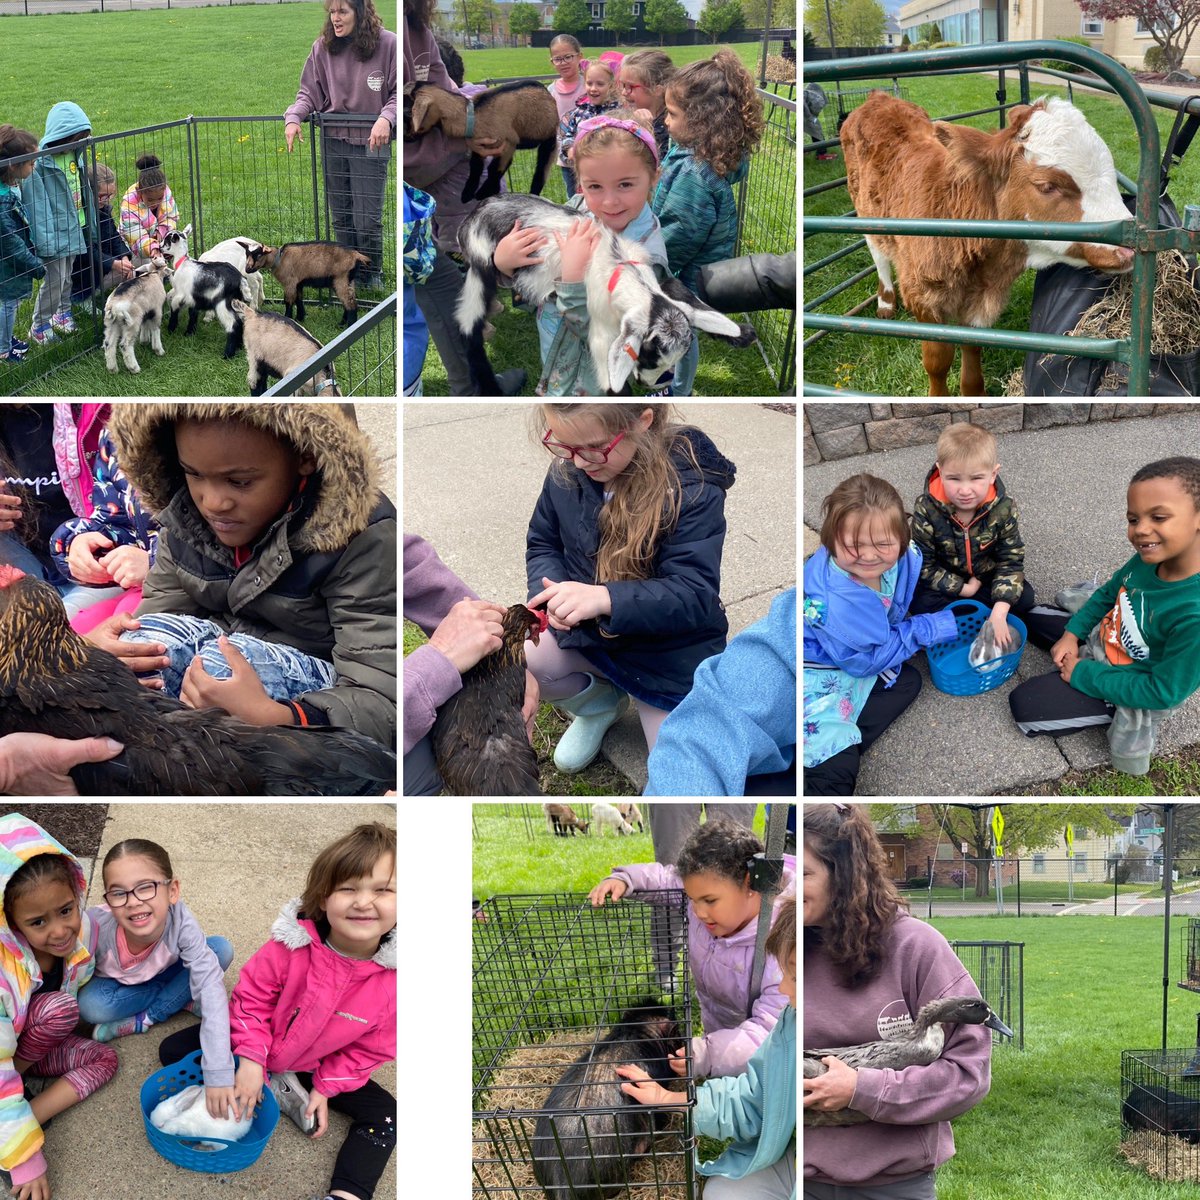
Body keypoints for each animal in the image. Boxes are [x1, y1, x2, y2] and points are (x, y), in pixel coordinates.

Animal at [160, 224, 249, 355]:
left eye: (167, 242)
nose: (159, 248)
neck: (182, 263)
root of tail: (240, 279)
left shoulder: (180, 294)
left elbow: (174, 307)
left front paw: (171, 328)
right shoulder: (193, 297)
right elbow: (192, 313)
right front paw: (189, 333)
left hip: (223, 303)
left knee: (233, 324)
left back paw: (228, 354)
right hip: (236, 301)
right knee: (241, 321)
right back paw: (240, 347)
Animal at [408, 82, 556, 204]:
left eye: (407, 112)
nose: (407, 137)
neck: (473, 115)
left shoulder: (508, 143)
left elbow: (495, 169)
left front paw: (485, 192)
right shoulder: (479, 147)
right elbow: (475, 167)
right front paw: (467, 194)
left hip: (549, 141)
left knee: (541, 170)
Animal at [453, 194, 753, 396]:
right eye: (646, 357)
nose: (645, 383)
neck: (620, 267)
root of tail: (469, 220)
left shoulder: (663, 285)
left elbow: (693, 305)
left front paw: (742, 333)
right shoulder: (599, 326)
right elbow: (607, 373)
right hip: (482, 259)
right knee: (469, 322)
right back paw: (489, 386)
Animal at [840, 94, 1128, 393]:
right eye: (1047, 186)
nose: (1127, 245)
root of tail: (877, 96)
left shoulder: (980, 302)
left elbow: (972, 350)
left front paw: (973, 392)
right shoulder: (923, 296)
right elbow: (938, 361)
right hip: (864, 210)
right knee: (879, 255)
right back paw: (885, 302)